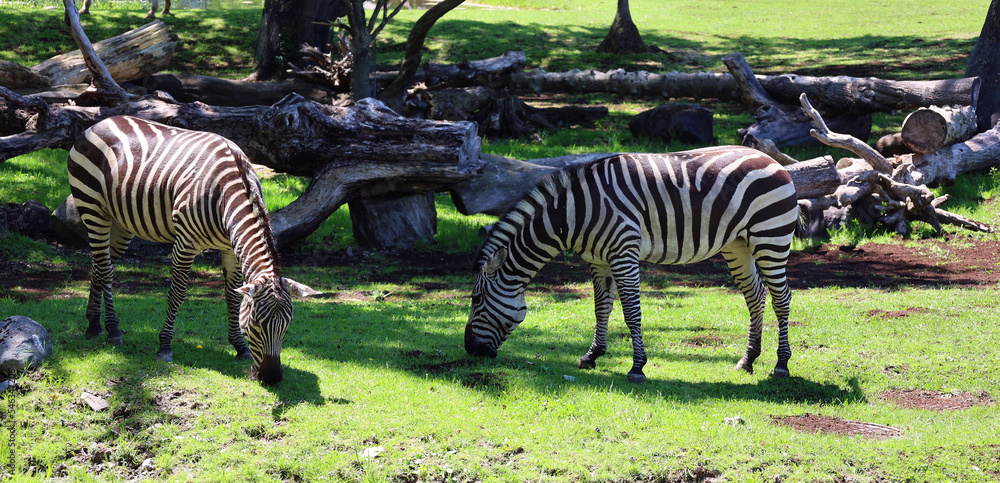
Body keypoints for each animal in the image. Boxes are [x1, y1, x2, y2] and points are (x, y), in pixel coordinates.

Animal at [67, 115, 293, 385]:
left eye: (287, 326)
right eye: (256, 324)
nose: (272, 378)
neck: (226, 194)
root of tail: (99, 123)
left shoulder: (230, 249)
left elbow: (232, 296)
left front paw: (240, 347)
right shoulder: (185, 243)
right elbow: (177, 293)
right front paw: (164, 346)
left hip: (119, 223)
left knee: (99, 265)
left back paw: (93, 324)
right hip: (92, 208)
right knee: (106, 270)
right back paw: (112, 330)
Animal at [465, 146, 799, 383]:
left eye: (477, 299)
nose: (469, 349)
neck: (573, 214)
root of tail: (768, 158)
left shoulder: (623, 252)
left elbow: (631, 312)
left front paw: (637, 367)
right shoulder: (598, 260)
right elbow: (601, 308)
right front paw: (592, 356)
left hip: (771, 236)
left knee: (782, 298)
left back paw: (781, 364)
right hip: (737, 244)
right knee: (755, 296)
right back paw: (748, 360)